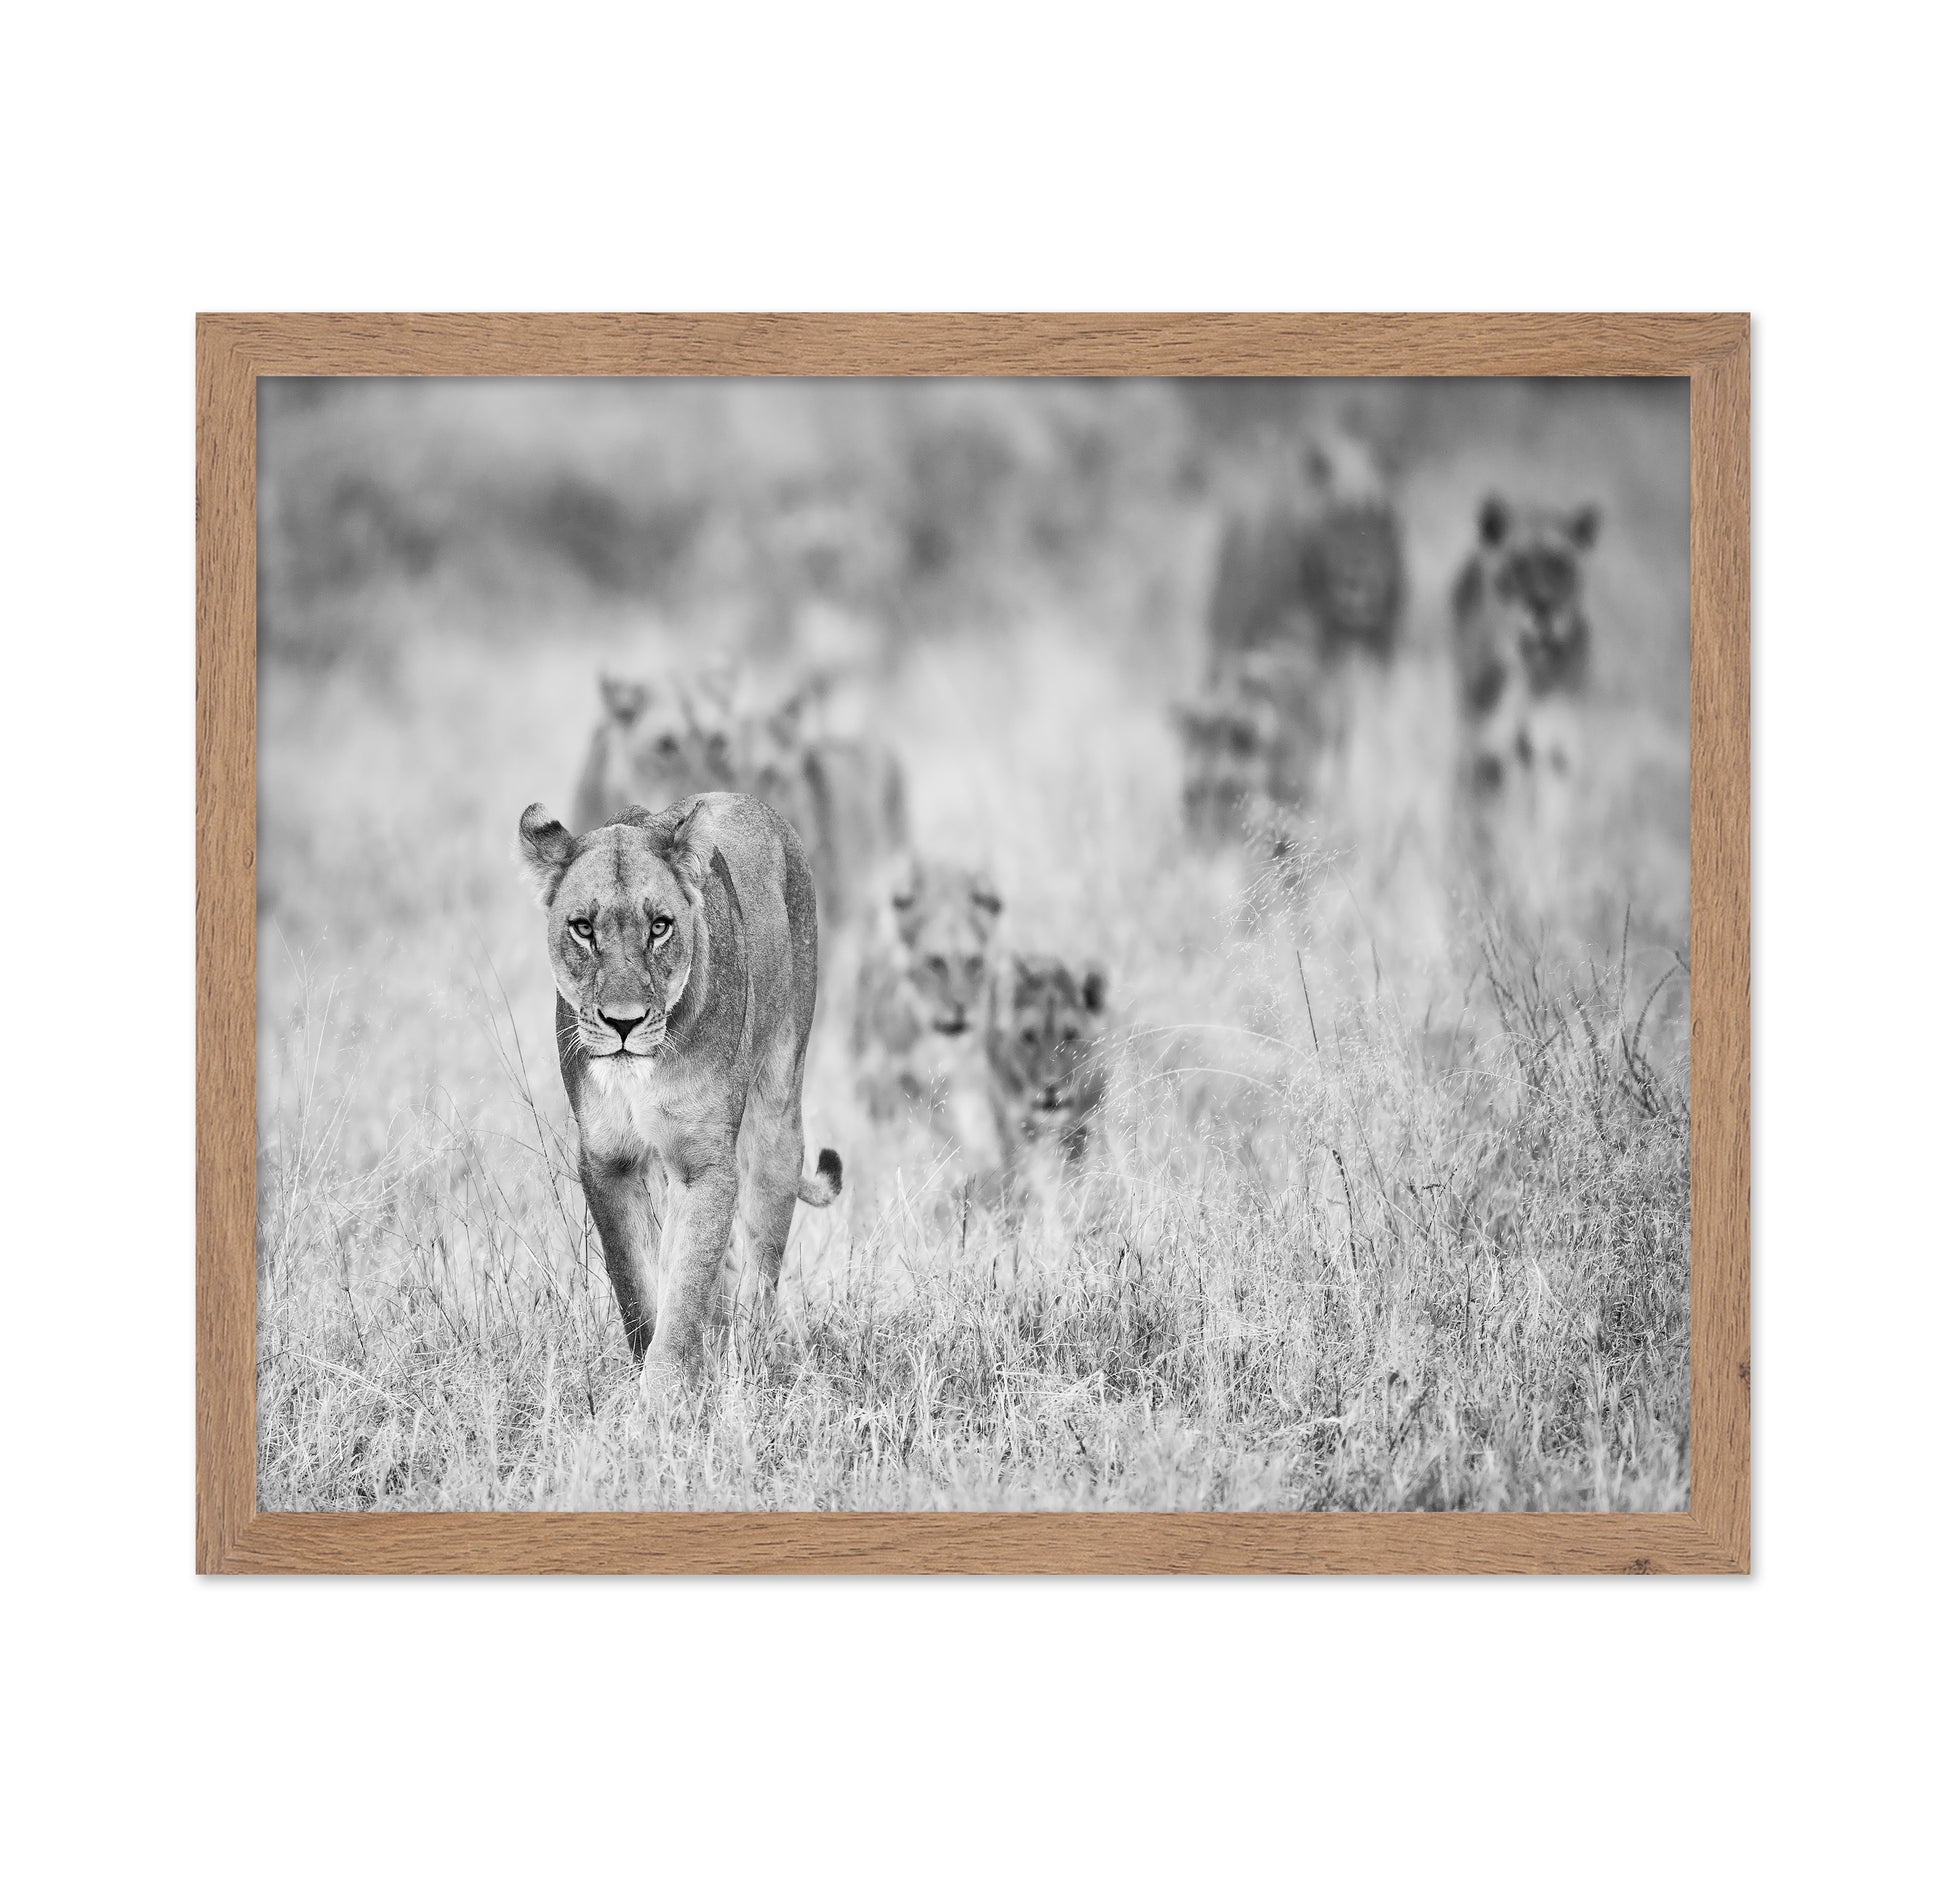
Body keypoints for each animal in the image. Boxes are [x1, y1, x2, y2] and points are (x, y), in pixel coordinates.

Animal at [517, 791, 840, 1392]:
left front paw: (664, 1399)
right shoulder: (606, 1159)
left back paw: (747, 1361)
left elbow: (686, 1286)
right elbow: (638, 1287)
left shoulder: (704, 1162)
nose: (623, 1023)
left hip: (777, 1115)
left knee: (760, 1268)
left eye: (661, 927)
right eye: (582, 928)